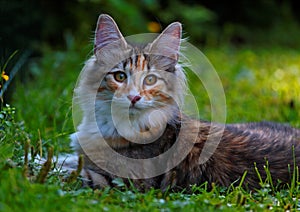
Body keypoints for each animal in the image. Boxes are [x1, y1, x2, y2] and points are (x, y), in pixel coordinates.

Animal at [68, 14, 300, 191]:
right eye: (120, 77)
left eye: (150, 80)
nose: (134, 97)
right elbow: (68, 159)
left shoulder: (122, 180)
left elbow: (71, 173)